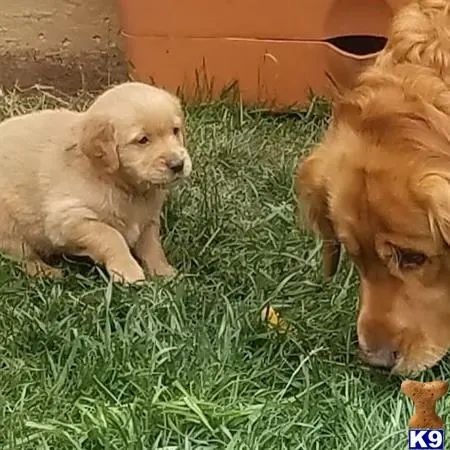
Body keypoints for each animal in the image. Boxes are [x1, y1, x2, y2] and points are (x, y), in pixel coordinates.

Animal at [0, 81, 192, 282]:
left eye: (175, 130)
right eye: (142, 140)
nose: (178, 164)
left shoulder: (149, 219)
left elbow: (152, 245)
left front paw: (163, 272)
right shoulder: (68, 219)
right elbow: (111, 236)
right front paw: (128, 271)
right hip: (8, 227)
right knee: (21, 257)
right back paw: (47, 272)